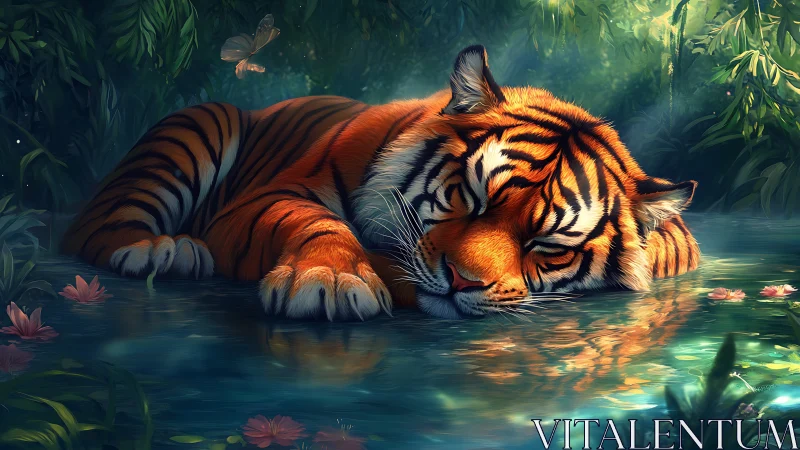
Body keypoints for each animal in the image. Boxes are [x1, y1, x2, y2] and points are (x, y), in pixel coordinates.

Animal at [62, 45, 700, 321]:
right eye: (471, 196)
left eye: (545, 245)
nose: (460, 282)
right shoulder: (267, 198)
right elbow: (310, 221)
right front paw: (332, 279)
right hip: (201, 122)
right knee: (95, 226)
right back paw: (161, 250)